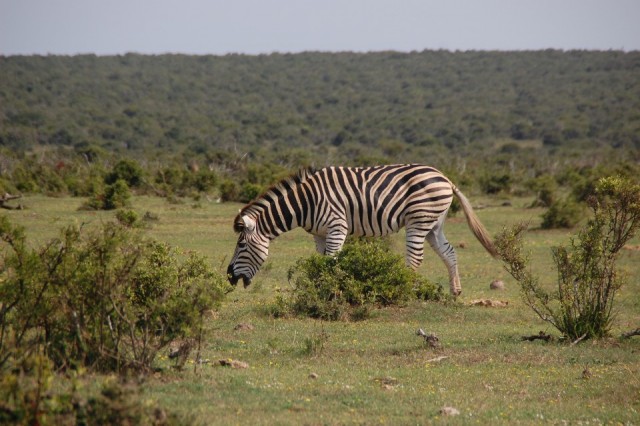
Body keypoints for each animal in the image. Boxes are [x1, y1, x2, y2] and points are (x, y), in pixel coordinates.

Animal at [227, 164, 497, 296]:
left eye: (241, 245)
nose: (229, 277)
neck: (305, 203)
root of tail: (445, 178)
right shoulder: (319, 234)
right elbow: (320, 262)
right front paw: (317, 288)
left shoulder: (337, 226)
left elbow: (332, 261)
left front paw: (330, 291)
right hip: (434, 223)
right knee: (449, 252)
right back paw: (455, 291)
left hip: (419, 219)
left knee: (415, 258)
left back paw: (406, 290)